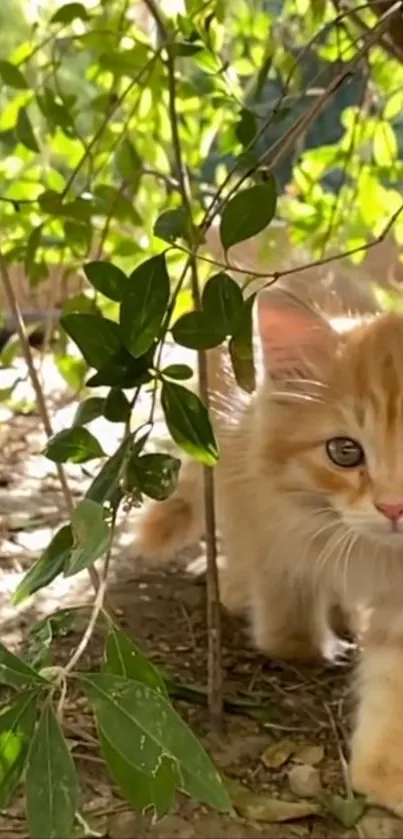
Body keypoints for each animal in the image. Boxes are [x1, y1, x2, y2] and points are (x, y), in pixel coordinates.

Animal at [138, 288, 403, 812]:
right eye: (345, 452)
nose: (393, 507)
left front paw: (385, 769)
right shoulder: (270, 507)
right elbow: (287, 615)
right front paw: (307, 642)